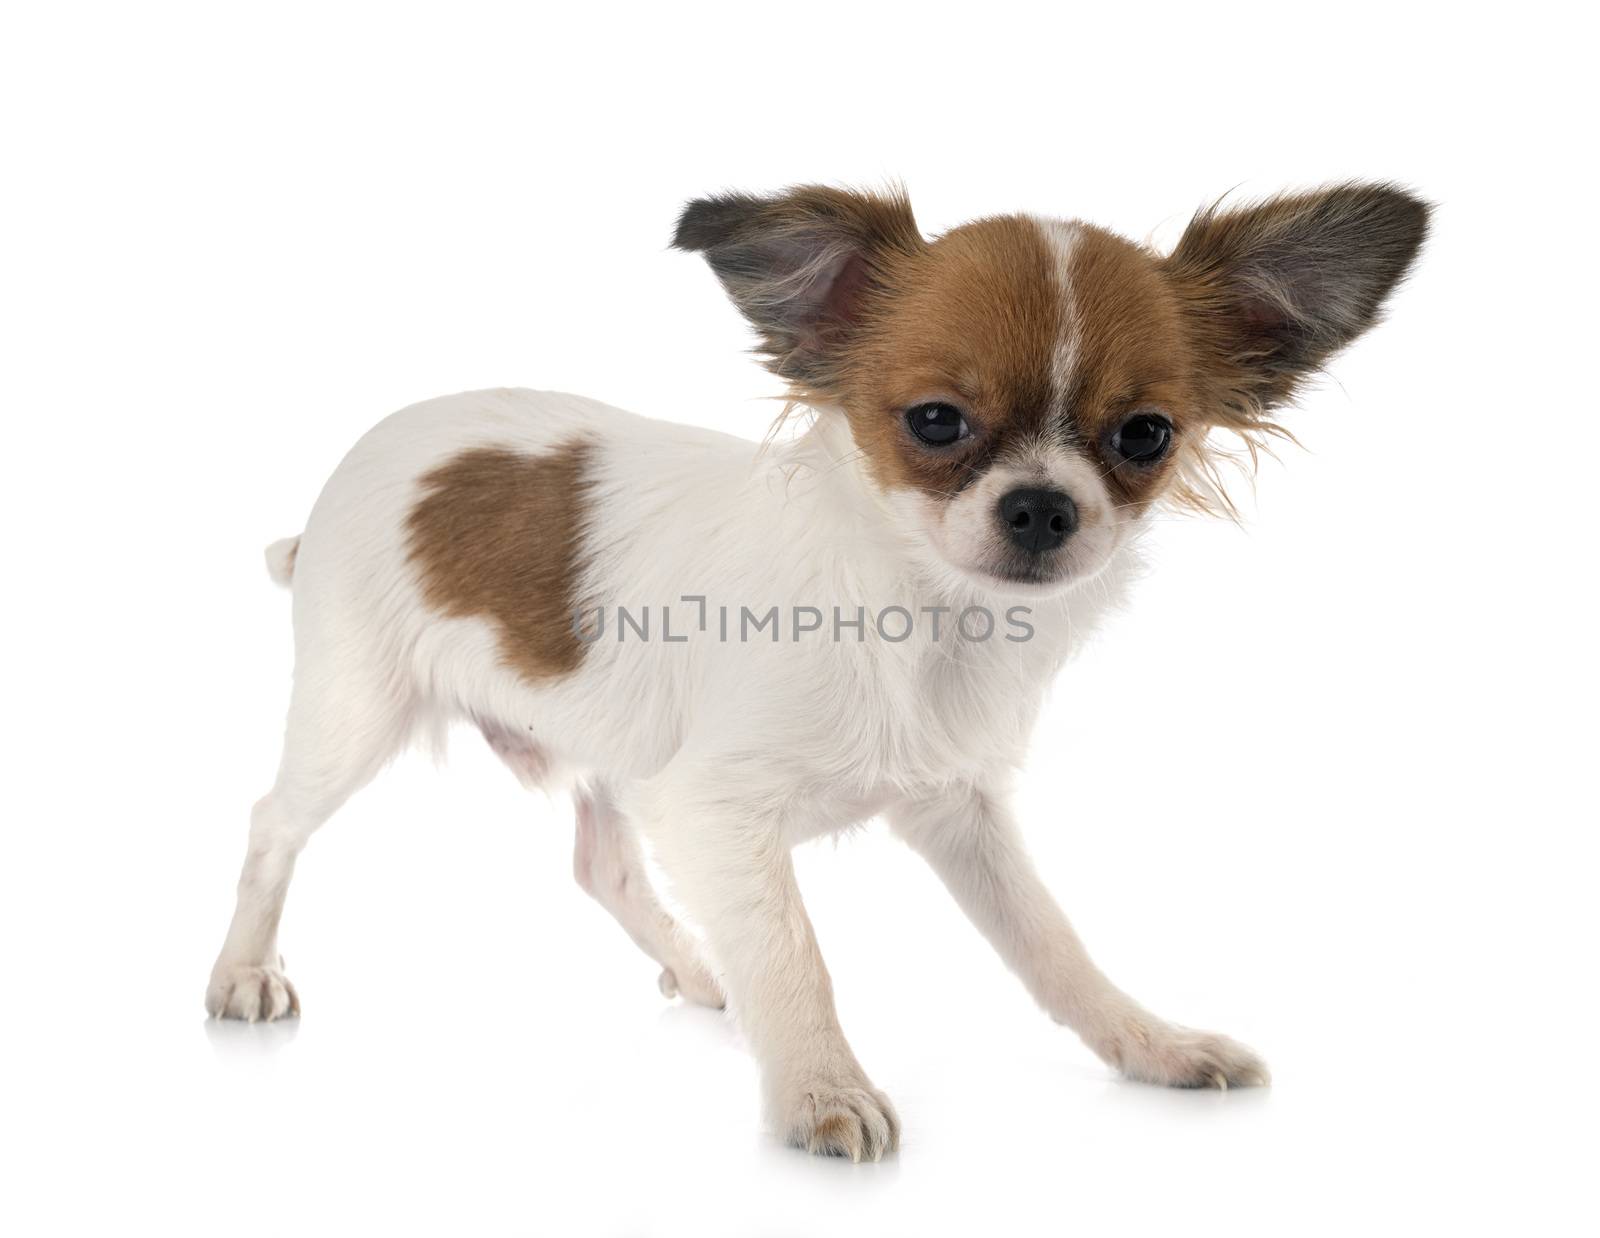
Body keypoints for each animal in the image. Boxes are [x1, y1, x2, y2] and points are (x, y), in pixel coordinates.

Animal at [209, 183, 1427, 1164]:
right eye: (934, 421)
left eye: (1145, 436)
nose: (1042, 506)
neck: (924, 617)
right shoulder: (716, 807)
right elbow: (796, 954)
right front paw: (819, 1090)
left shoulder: (956, 809)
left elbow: (1051, 946)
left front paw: (1149, 1043)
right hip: (356, 710)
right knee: (273, 821)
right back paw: (241, 973)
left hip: (614, 736)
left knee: (602, 863)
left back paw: (702, 966)